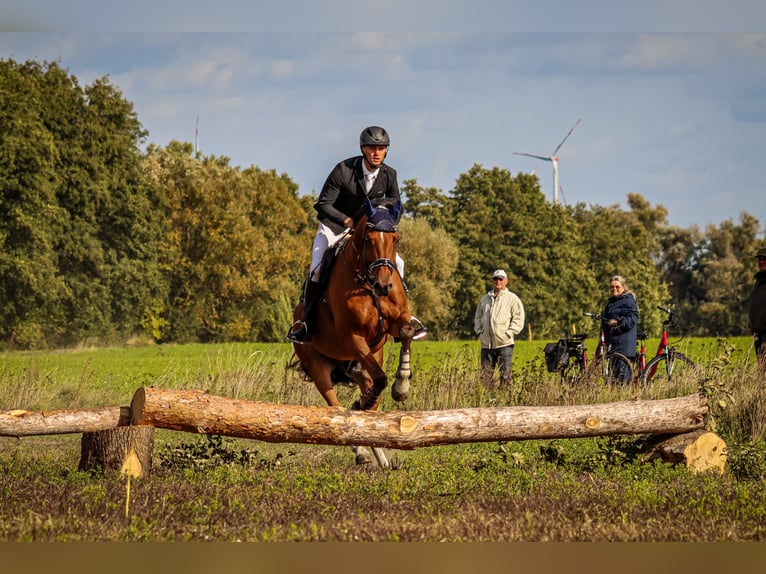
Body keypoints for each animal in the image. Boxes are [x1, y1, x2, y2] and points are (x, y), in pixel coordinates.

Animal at [292, 198, 416, 468]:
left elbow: (407, 333)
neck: (367, 283)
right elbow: (380, 380)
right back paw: (361, 451)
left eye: (396, 240)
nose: (383, 286)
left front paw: (401, 387)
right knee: (336, 409)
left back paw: (381, 457)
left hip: (358, 366)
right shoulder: (353, 337)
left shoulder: (394, 324)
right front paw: (362, 402)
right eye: (368, 239)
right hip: (319, 367)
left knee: (370, 403)